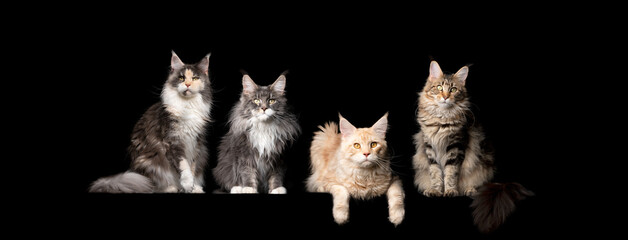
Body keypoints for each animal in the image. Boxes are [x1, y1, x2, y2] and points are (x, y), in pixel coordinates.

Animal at [87, 51, 213, 194]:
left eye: (195, 78)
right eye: (181, 78)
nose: (187, 84)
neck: (187, 106)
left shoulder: (196, 143)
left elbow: (192, 166)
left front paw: (192, 187)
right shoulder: (173, 141)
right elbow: (183, 166)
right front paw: (187, 185)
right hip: (148, 163)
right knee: (152, 186)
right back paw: (170, 188)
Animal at [412, 60, 536, 232]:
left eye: (453, 89)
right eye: (439, 88)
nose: (445, 97)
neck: (441, 118)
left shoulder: (456, 146)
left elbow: (450, 173)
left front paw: (450, 191)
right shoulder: (430, 148)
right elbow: (436, 173)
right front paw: (436, 191)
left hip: (483, 167)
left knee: (479, 184)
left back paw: (469, 189)